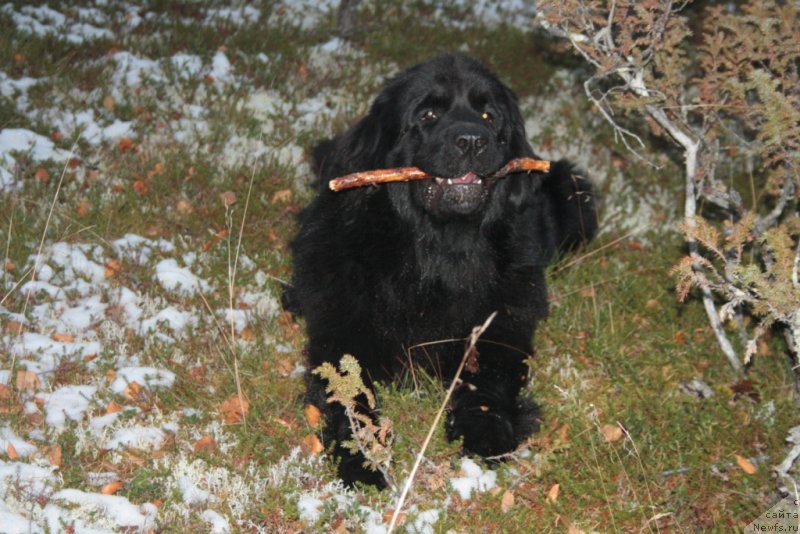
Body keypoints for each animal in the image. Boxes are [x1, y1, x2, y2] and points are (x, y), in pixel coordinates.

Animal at [286, 55, 592, 490]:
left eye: (488, 116)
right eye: (427, 115)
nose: (472, 140)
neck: (438, 254)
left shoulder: (503, 325)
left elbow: (490, 380)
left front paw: (486, 433)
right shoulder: (342, 333)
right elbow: (352, 399)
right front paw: (364, 461)